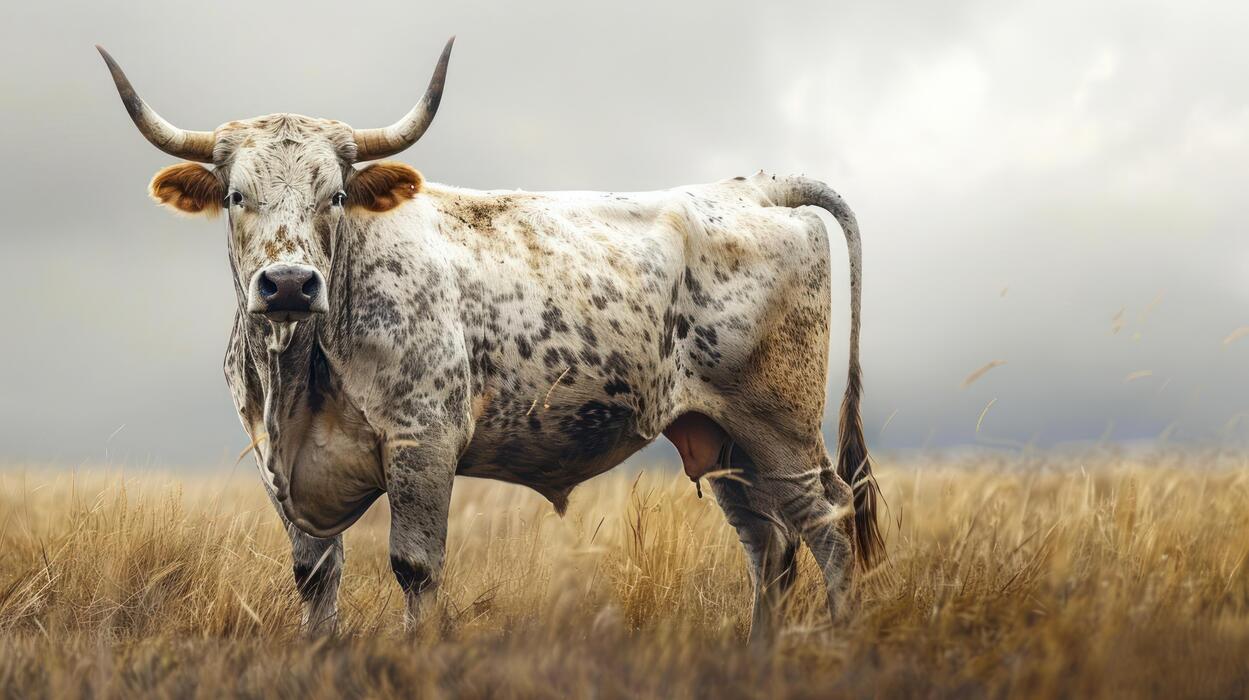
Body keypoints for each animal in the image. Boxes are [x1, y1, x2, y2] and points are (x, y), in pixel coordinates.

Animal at [98, 37, 883, 645]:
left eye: (336, 195)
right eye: (237, 196)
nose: (288, 284)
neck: (296, 373)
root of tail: (752, 189)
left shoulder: (424, 442)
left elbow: (415, 567)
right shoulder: (280, 468)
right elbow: (315, 579)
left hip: (779, 426)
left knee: (829, 523)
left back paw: (837, 644)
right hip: (721, 439)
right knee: (768, 546)